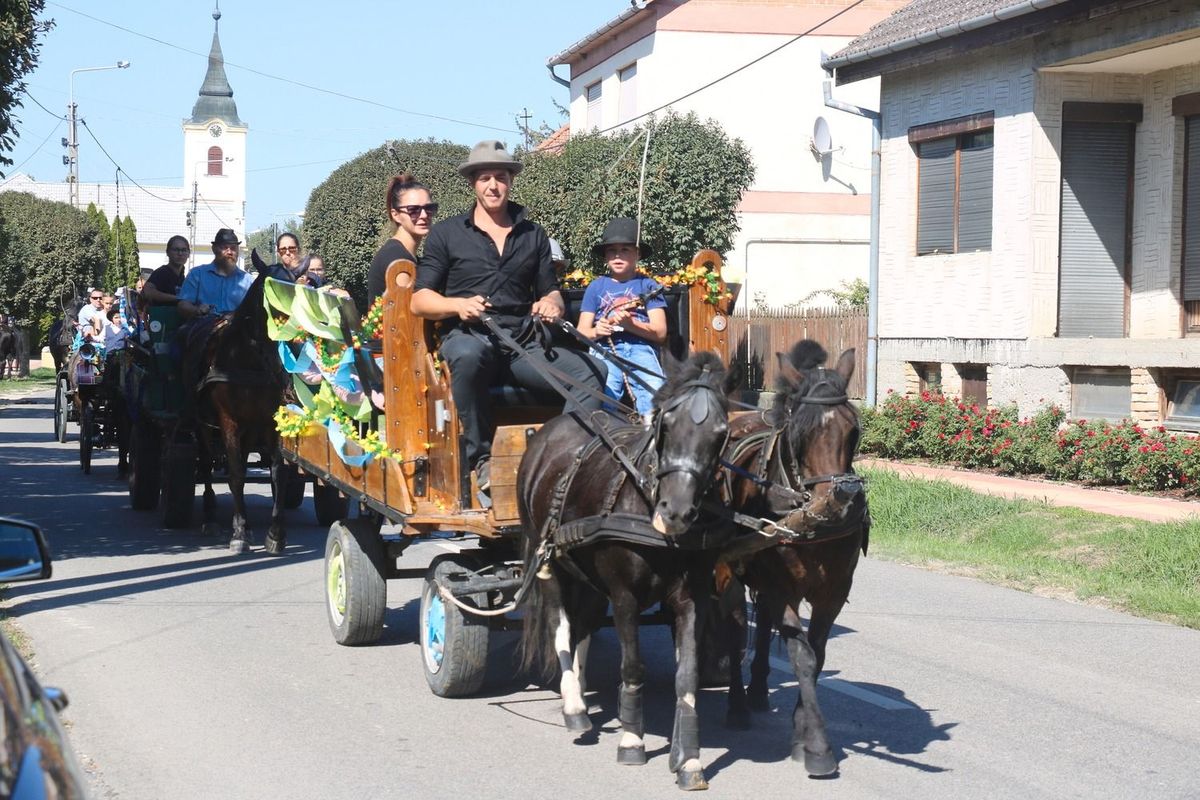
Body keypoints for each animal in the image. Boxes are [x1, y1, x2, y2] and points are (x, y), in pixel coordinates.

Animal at [518, 352, 734, 791]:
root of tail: (551, 429)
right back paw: (573, 706)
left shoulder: (692, 598)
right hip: (548, 555)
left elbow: (687, 674)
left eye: (721, 433)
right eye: (666, 423)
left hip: (583, 570)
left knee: (583, 623)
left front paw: (688, 759)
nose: (676, 511)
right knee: (560, 623)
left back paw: (582, 688)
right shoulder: (624, 597)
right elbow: (633, 666)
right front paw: (632, 740)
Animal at [715, 338, 868, 777]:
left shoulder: (833, 592)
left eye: (853, 429)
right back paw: (736, 704)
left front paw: (801, 729)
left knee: (763, 621)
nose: (844, 499)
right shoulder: (783, 587)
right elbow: (802, 656)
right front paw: (816, 745)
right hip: (727, 570)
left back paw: (758, 689)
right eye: (801, 430)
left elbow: (817, 654)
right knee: (735, 628)